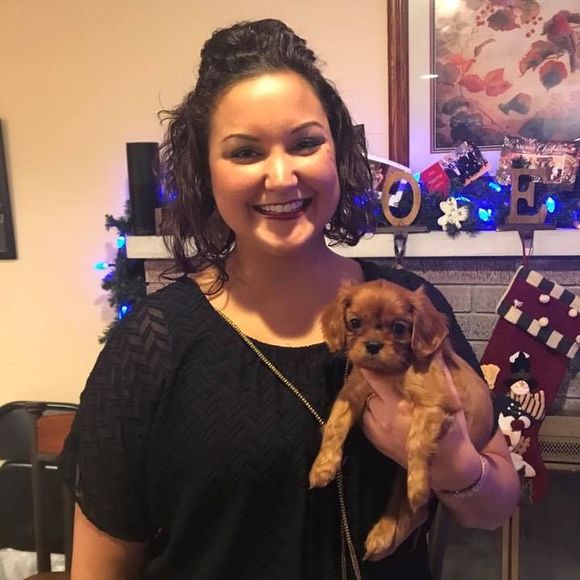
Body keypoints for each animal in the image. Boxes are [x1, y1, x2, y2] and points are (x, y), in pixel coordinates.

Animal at [308, 279, 493, 559]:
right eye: (354, 323)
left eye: (398, 328)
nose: (373, 345)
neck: (391, 372)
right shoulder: (352, 392)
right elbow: (334, 426)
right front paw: (323, 466)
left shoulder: (433, 404)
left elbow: (415, 442)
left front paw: (417, 487)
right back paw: (382, 534)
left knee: (417, 511)